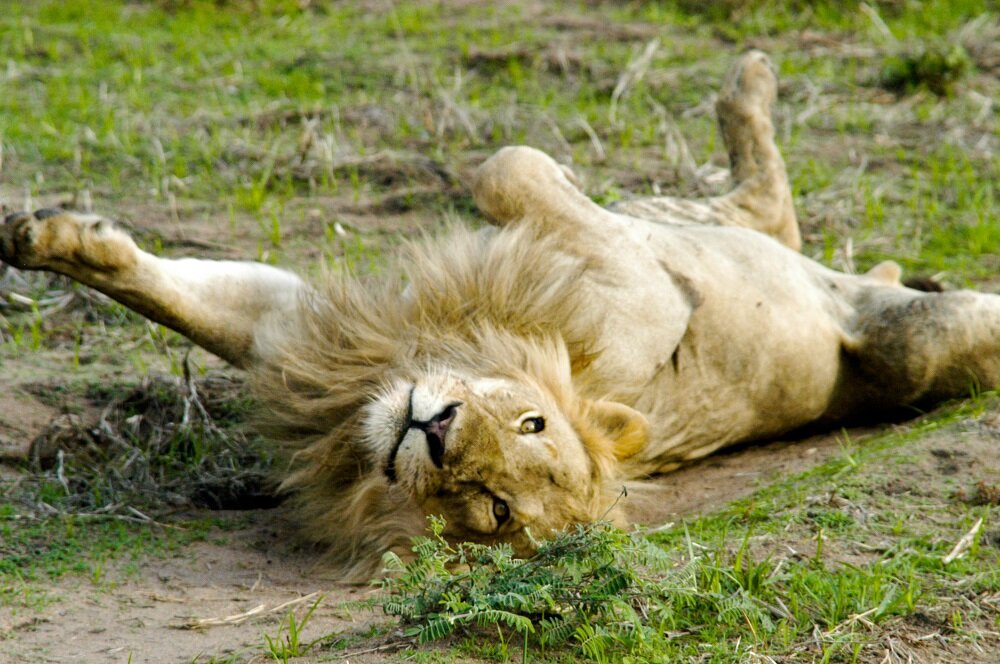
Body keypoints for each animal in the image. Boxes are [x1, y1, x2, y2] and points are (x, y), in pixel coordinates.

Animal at [1, 53, 1000, 580]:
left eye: (493, 510)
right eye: (531, 421)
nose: (436, 432)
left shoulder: (642, 299)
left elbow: (506, 165)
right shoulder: (310, 338)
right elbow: (172, 296)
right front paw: (50, 237)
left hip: (917, 344)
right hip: (743, 236)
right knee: (763, 205)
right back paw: (748, 87)